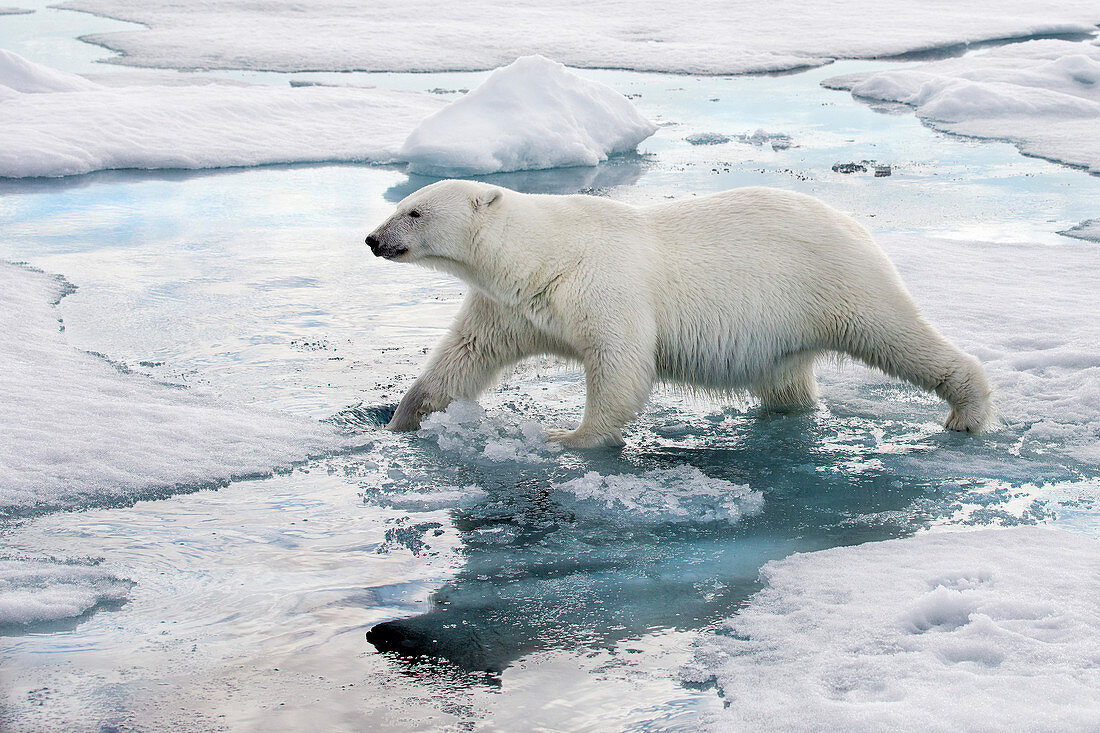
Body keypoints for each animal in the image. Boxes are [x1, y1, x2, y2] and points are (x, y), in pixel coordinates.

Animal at [365, 179, 994, 449]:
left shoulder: (603, 285)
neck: (543, 255)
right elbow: (462, 357)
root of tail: (855, 225)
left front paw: (568, 436)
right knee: (787, 381)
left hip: (834, 283)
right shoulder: (509, 305)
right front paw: (400, 420)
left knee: (897, 336)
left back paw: (965, 411)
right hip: (784, 331)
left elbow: (620, 364)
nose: (373, 239)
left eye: (414, 212)